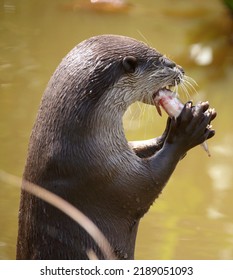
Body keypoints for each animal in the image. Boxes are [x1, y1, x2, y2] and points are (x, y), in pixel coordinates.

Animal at [16, 35, 217, 260]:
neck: (76, 140)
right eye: (165, 62)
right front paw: (188, 128)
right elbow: (147, 184)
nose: (181, 69)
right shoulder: (101, 177)